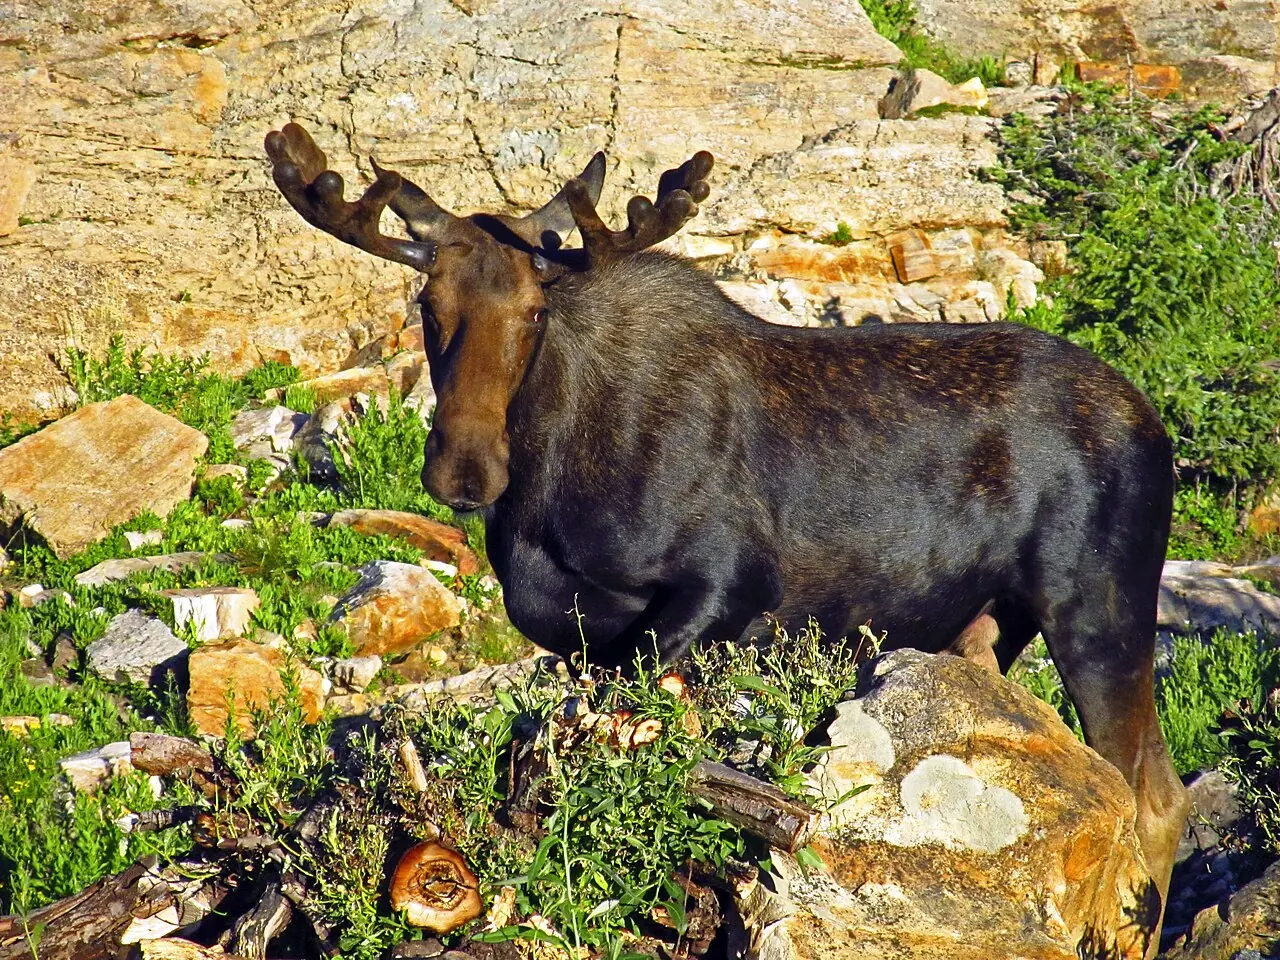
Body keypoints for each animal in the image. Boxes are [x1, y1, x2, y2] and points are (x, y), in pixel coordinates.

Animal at [264, 121, 1189, 951]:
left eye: (533, 311)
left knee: (1153, 794)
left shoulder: (723, 588)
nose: (465, 469)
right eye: (428, 304)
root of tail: (1156, 426)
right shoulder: (582, 637)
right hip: (990, 627)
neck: (545, 498)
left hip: (1099, 604)